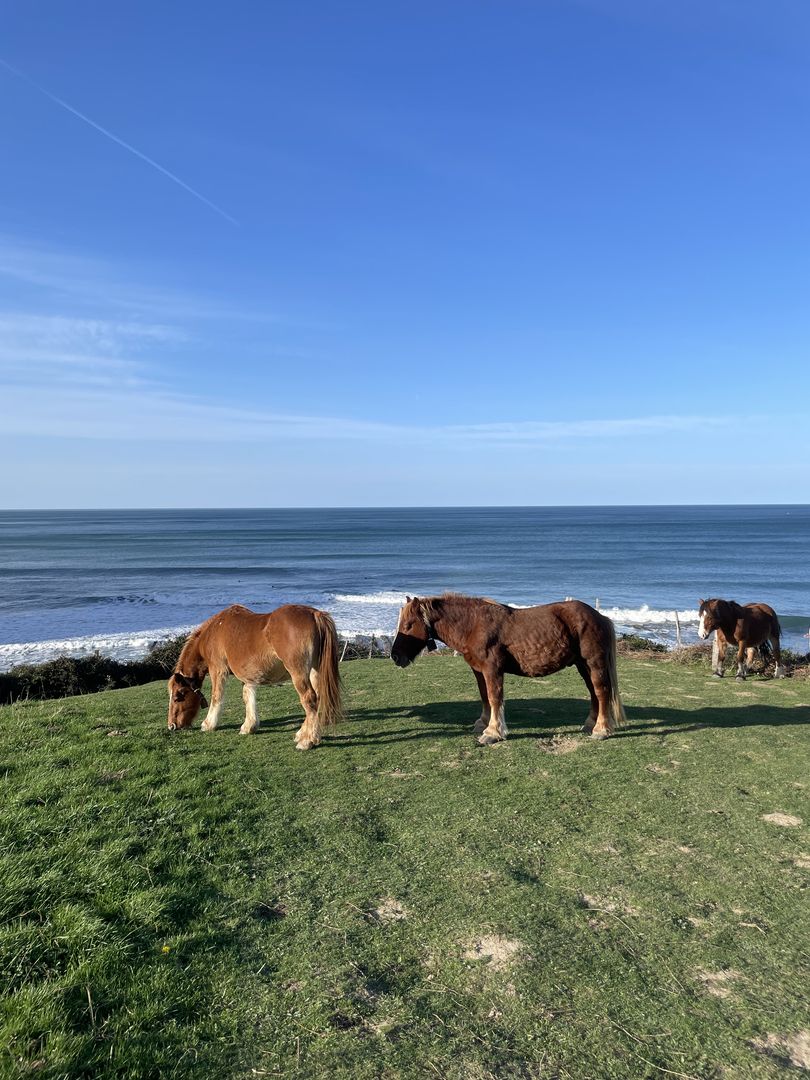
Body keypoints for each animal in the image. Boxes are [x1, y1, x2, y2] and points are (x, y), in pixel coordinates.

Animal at [167, 604, 343, 748]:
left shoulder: (218, 669)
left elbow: (217, 697)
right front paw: (249, 726)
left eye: (177, 697)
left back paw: (307, 741)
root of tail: (315, 614)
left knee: (309, 699)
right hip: (314, 670)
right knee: (316, 698)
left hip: (298, 673)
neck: (214, 632)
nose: (171, 726)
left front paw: (208, 724)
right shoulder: (248, 676)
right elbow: (248, 696)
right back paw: (304, 734)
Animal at [390, 594, 626, 744]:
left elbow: (495, 698)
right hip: (583, 665)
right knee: (594, 693)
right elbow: (484, 697)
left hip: (594, 663)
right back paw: (590, 724)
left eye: (408, 625)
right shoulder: (479, 671)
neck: (474, 625)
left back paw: (601, 729)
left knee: (601, 692)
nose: (395, 656)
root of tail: (600, 617)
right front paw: (483, 723)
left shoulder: (492, 669)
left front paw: (493, 732)